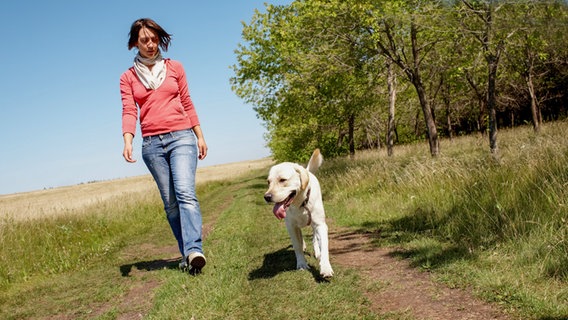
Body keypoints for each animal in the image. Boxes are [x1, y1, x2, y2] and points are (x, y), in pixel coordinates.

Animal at [264, 149, 336, 278]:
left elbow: (324, 246)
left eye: (282, 180)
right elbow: (297, 246)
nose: (266, 197)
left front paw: (326, 267)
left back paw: (317, 252)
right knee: (300, 238)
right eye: (268, 182)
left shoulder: (320, 225)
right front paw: (302, 264)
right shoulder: (291, 227)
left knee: (314, 238)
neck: (300, 204)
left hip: (313, 224)